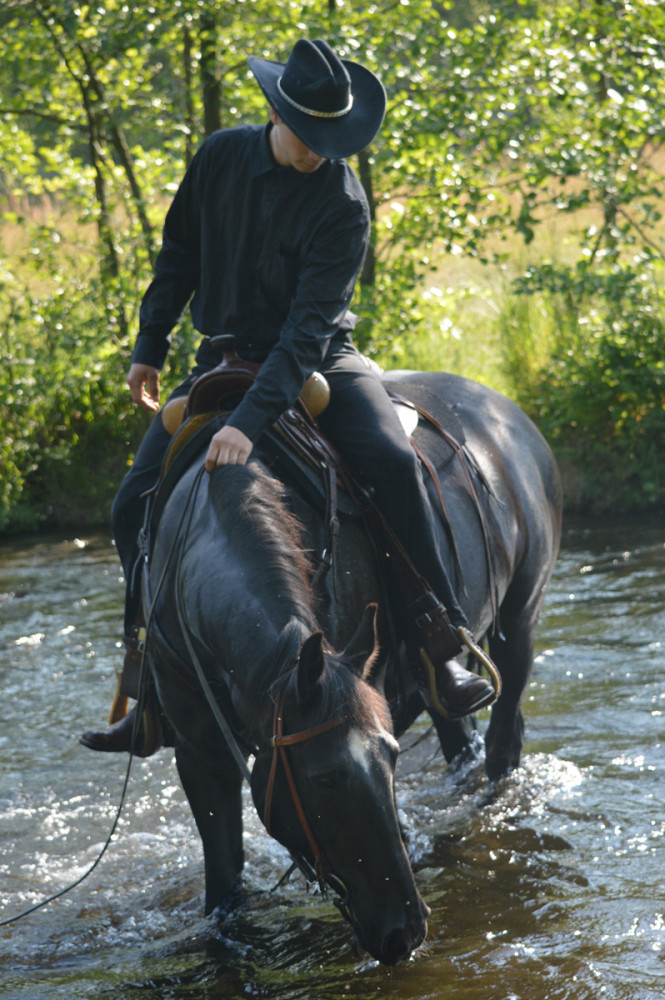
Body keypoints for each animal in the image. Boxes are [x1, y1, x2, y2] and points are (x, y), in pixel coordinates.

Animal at [144, 372, 560, 964]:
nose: (405, 929)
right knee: (458, 731)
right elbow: (223, 881)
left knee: (503, 745)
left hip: (521, 622)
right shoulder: (200, 753)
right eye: (325, 778)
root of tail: (505, 408)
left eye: (391, 759)